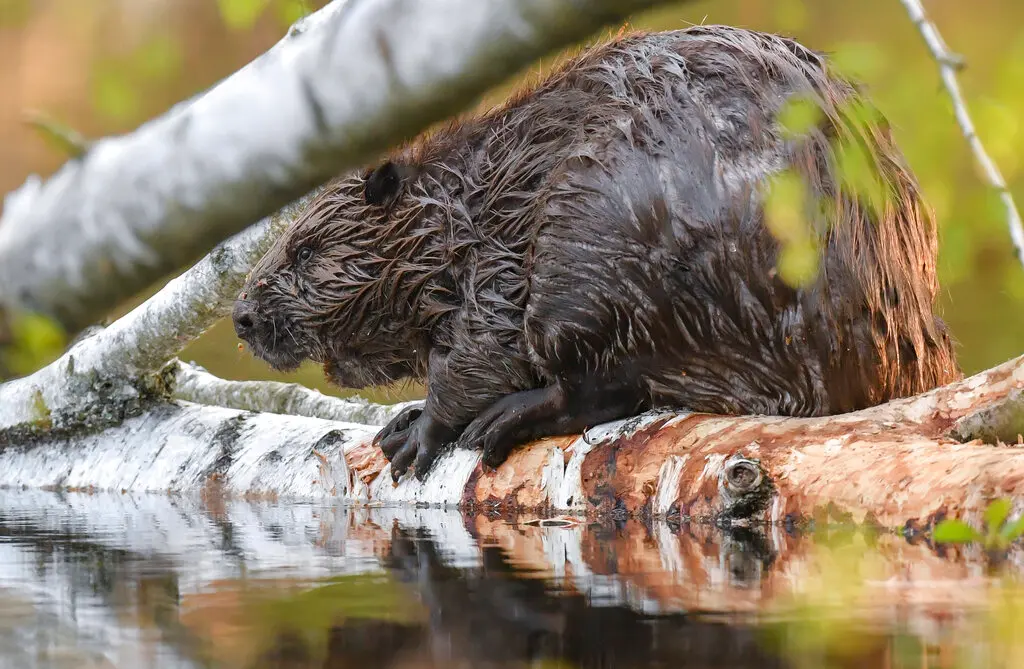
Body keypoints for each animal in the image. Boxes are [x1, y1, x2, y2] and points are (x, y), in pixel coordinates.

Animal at [230, 24, 958, 479]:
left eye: (304, 249)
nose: (241, 316)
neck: (474, 194)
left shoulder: (503, 258)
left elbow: (484, 345)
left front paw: (417, 431)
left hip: (594, 245)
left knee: (603, 380)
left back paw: (505, 420)